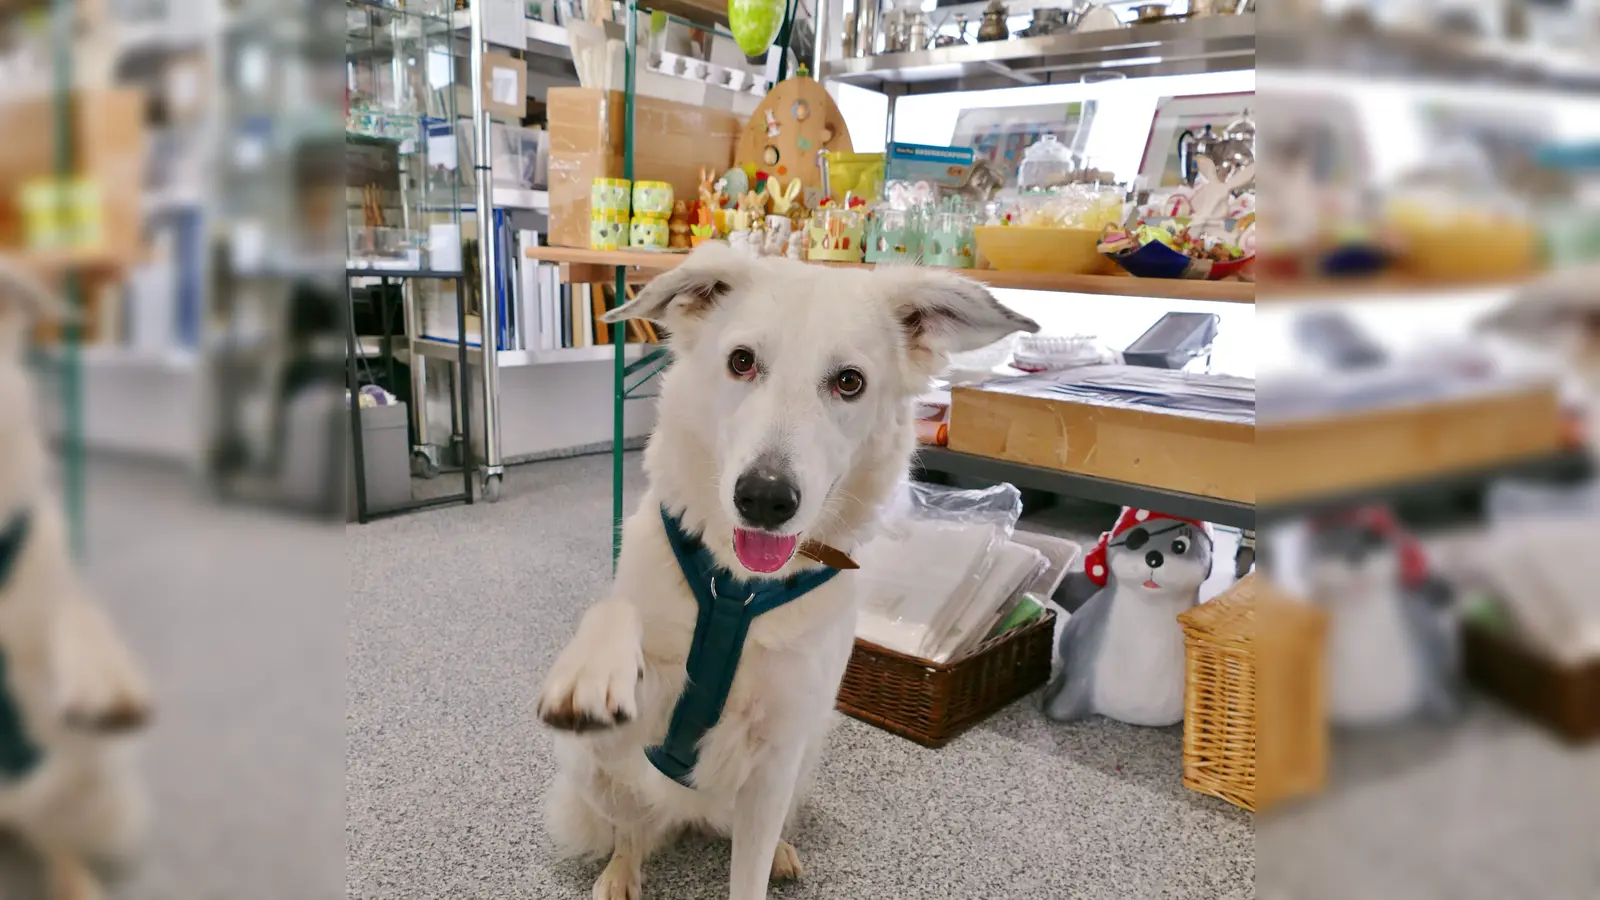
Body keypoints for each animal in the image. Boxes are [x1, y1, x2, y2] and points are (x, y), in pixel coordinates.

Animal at [537, 241, 1036, 890]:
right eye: (741, 361)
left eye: (849, 382)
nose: (765, 498)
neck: (740, 589)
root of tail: (690, 815)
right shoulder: (634, 728)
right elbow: (616, 609)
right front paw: (594, 667)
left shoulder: (776, 756)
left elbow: (746, 879)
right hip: (590, 772)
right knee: (631, 831)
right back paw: (621, 872)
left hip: (801, 765)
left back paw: (776, 853)